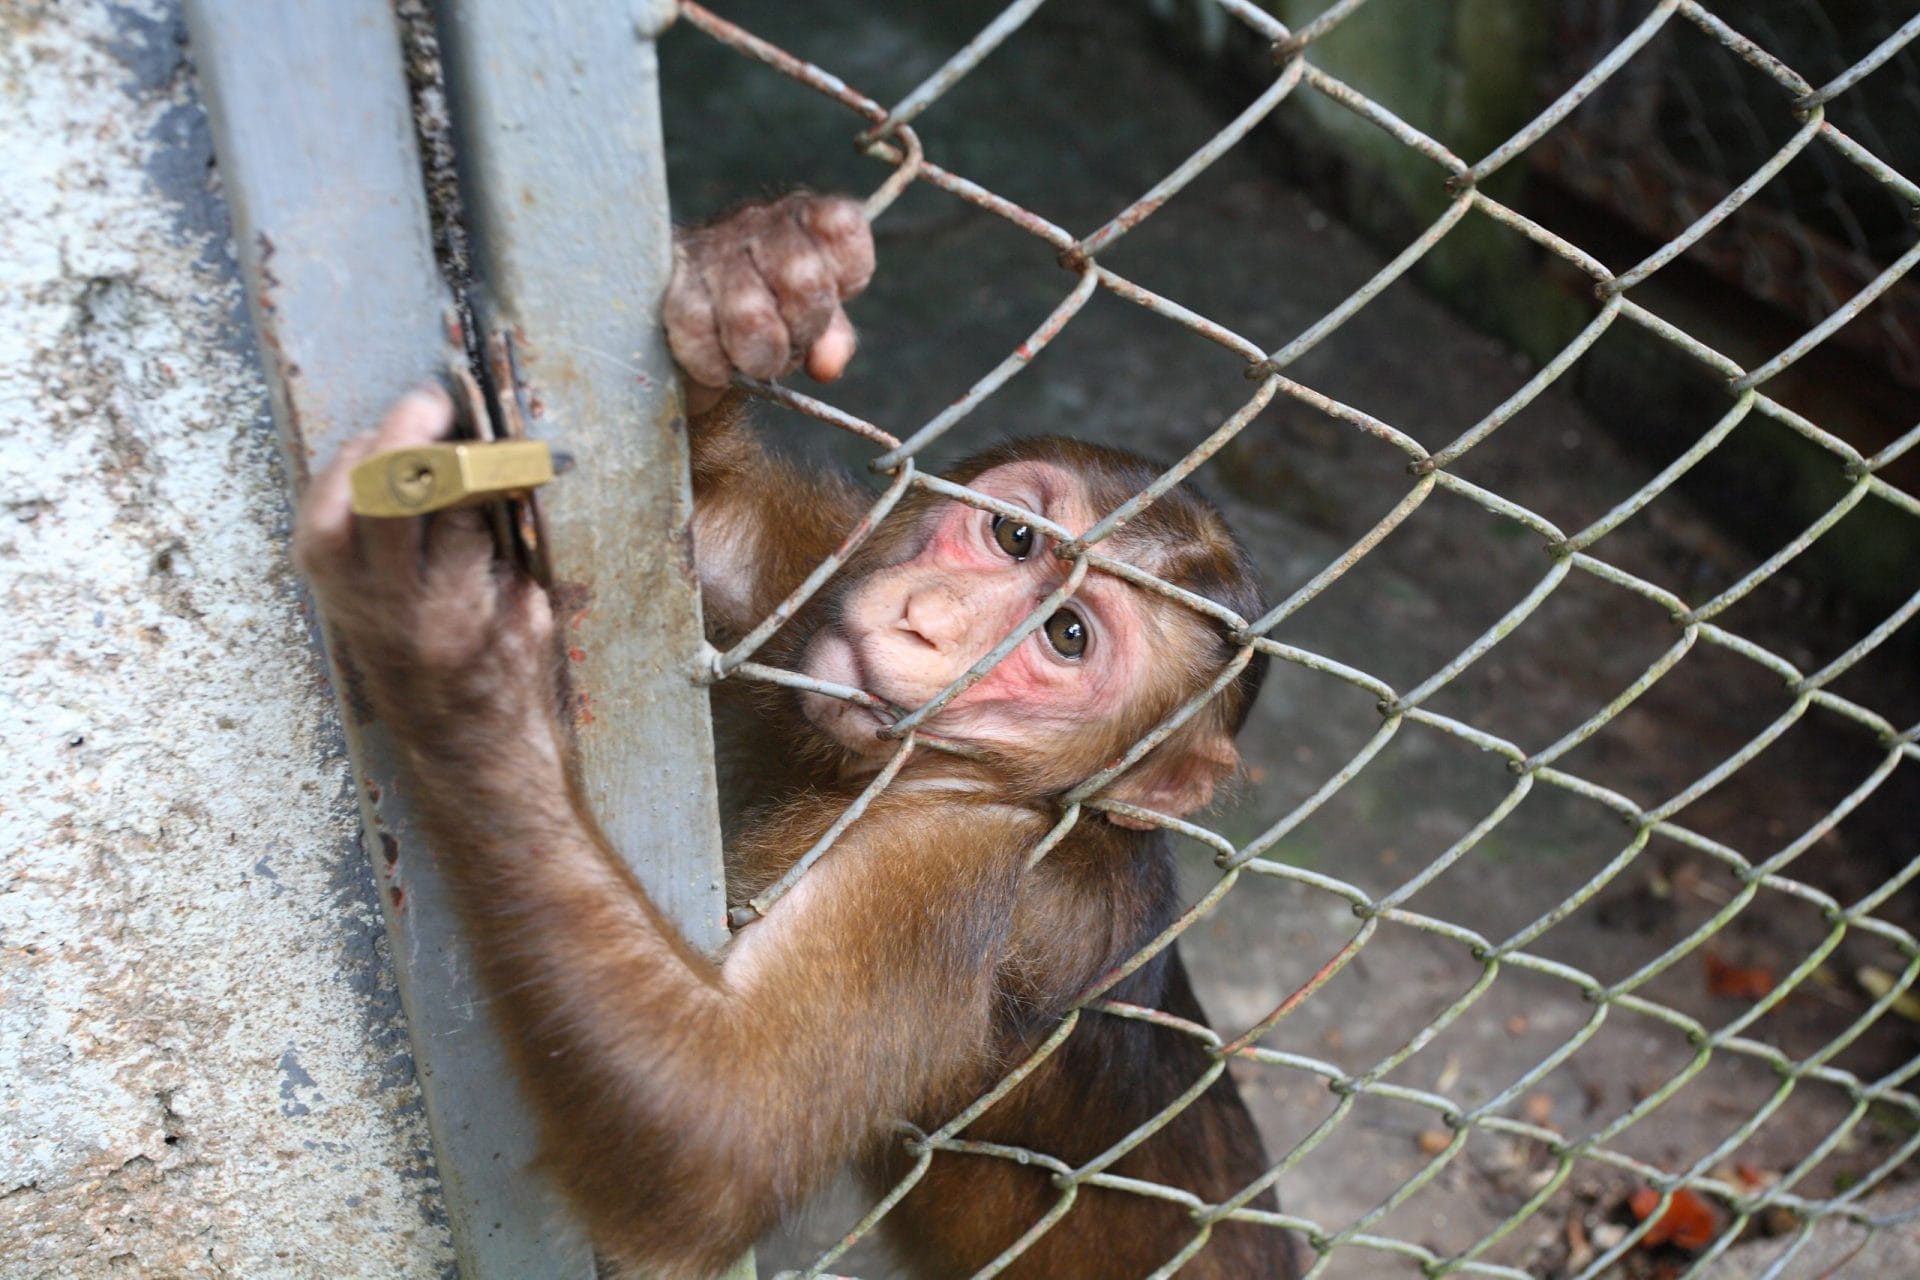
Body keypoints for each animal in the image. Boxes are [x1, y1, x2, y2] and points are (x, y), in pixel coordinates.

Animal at [295, 192, 1297, 1279]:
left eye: (1067, 635)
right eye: (1013, 535)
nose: (927, 617)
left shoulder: (969, 870)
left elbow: (715, 1128)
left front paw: (448, 650)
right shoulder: (835, 577)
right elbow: (712, 542)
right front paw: (755, 280)